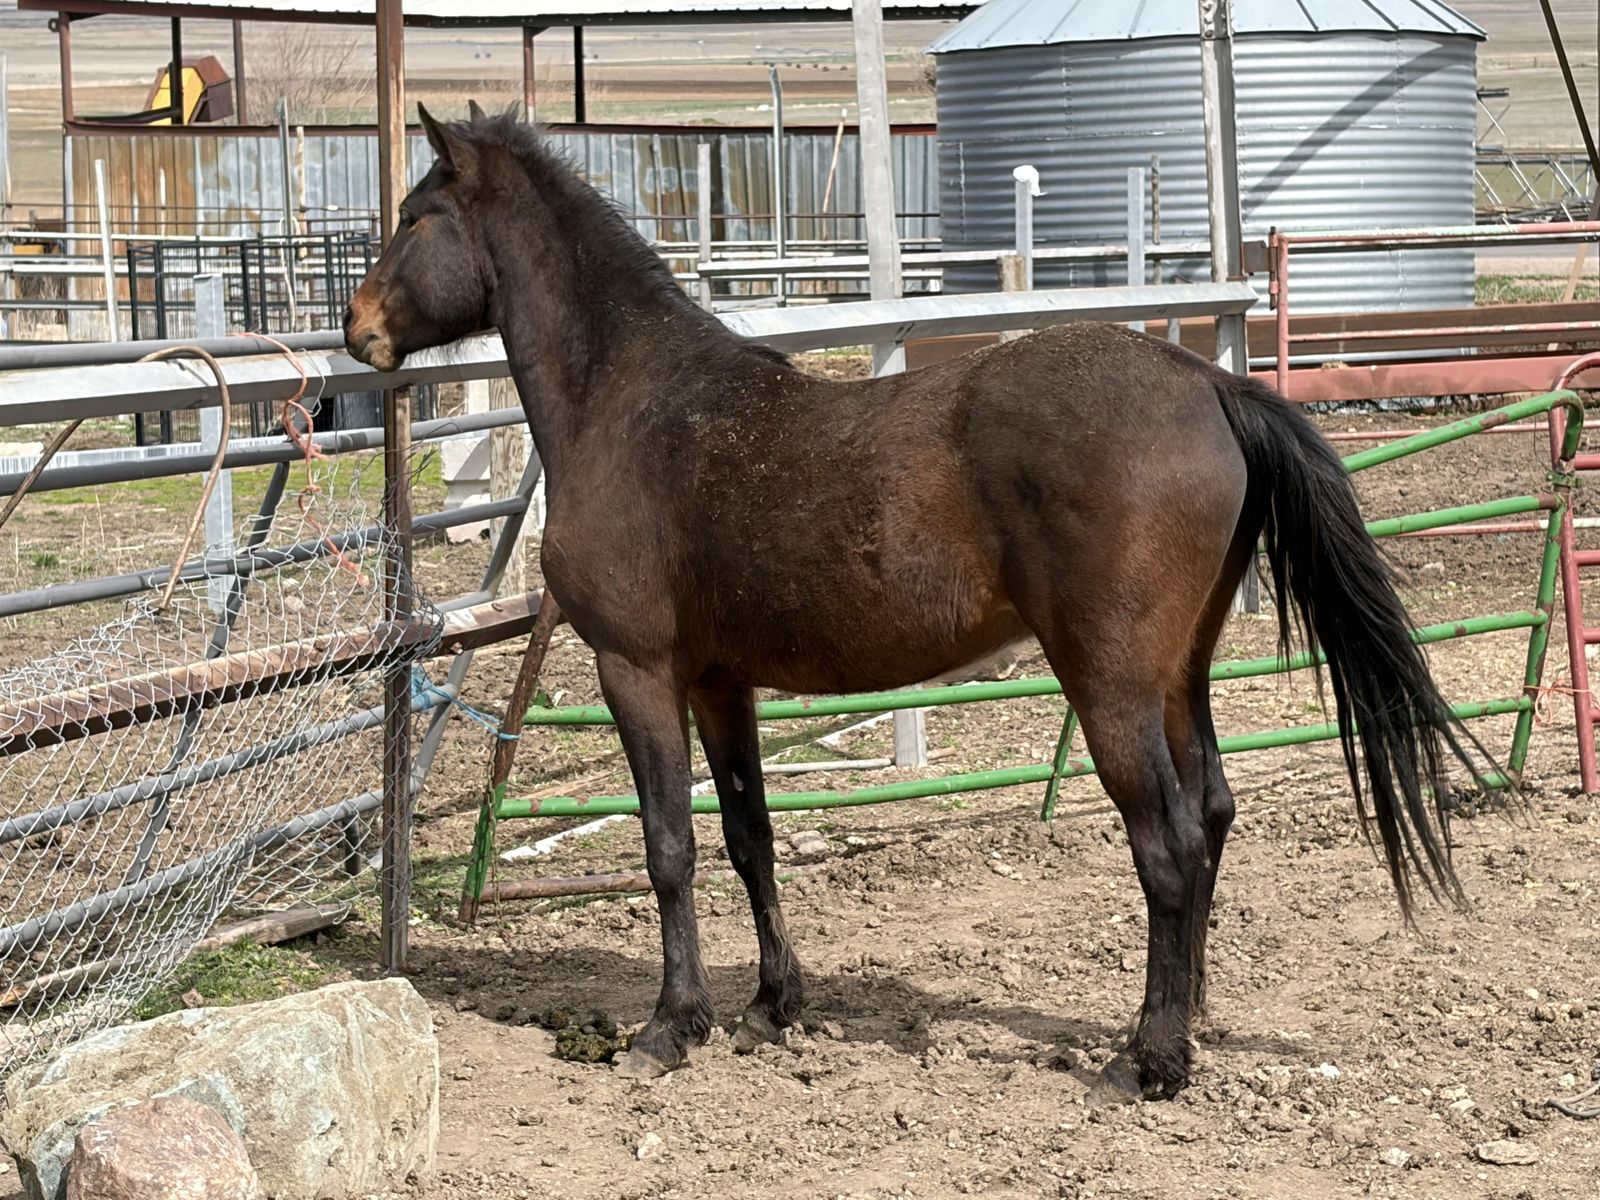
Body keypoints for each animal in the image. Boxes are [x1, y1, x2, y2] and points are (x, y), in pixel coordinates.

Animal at [345, 105, 1482, 1102]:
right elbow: (749, 837)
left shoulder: (638, 671)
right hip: (1176, 673)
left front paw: (669, 1028)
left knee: (1168, 845)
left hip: (1109, 681)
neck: (632, 402)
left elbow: (669, 849)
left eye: (414, 215)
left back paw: (1146, 1061)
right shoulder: (719, 683)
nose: (357, 331)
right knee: (1210, 812)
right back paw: (1184, 1019)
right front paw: (771, 1007)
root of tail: (1206, 383)